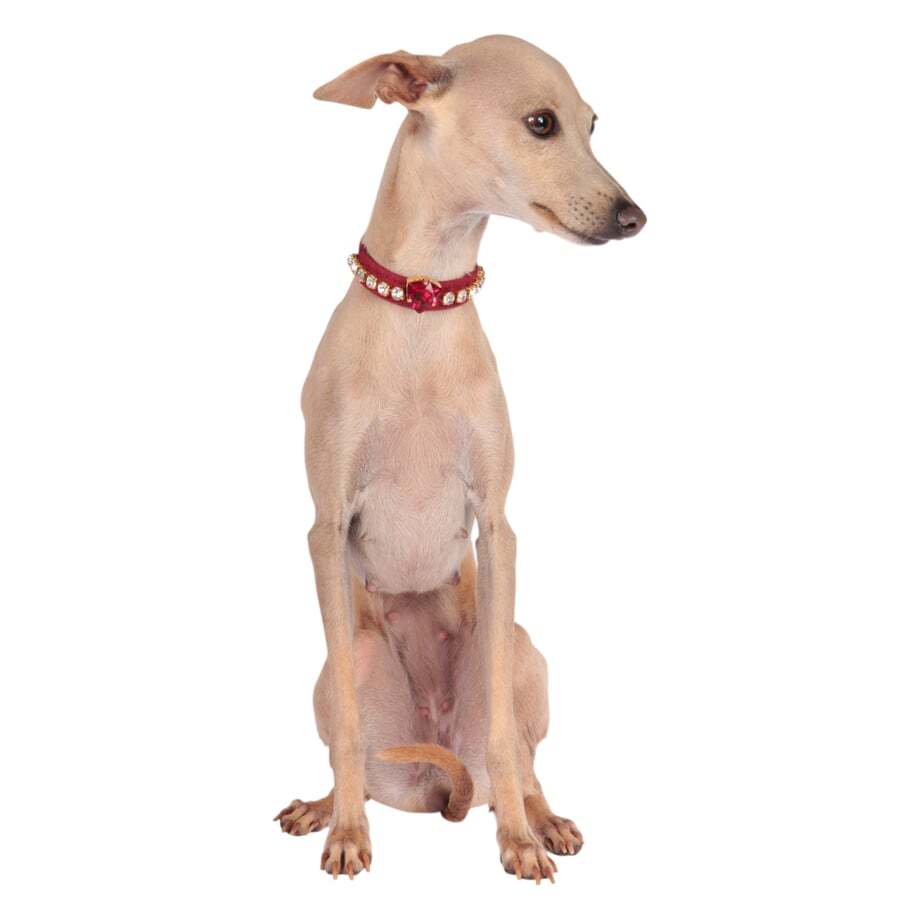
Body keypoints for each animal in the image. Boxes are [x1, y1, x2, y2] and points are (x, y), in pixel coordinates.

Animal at [274, 34, 645, 882]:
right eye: (541, 122)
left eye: (593, 124)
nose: (634, 216)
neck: (422, 305)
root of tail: (438, 760)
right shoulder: (324, 529)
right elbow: (350, 735)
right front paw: (347, 832)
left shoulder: (497, 529)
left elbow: (509, 744)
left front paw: (517, 841)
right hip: (344, 664)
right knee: (358, 752)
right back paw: (328, 805)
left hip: (519, 651)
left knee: (521, 757)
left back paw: (541, 818)